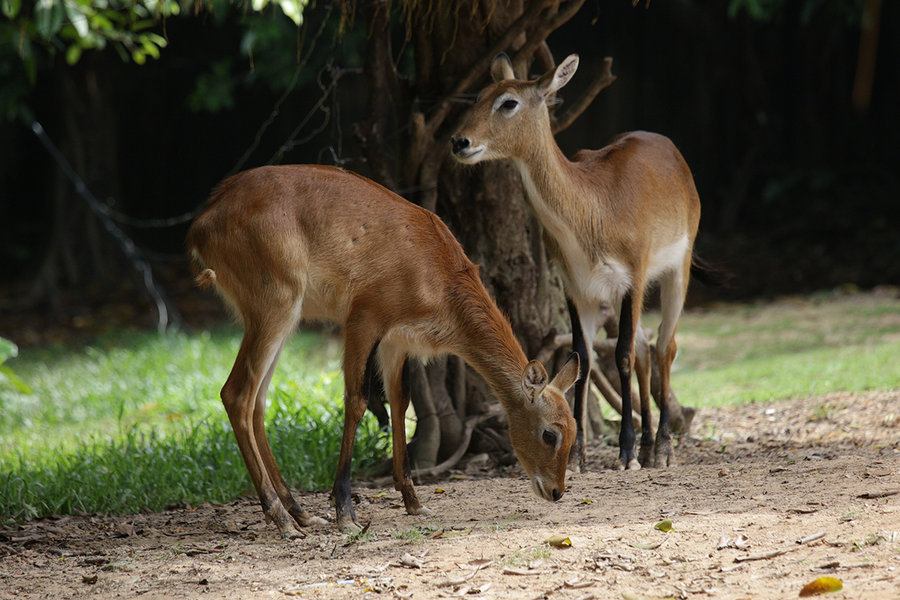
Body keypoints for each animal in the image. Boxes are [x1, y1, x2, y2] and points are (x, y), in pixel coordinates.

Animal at [186, 165, 580, 540]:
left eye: (574, 431)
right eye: (550, 434)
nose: (557, 491)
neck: (438, 274)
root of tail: (202, 223)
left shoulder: (397, 341)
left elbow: (401, 402)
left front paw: (414, 502)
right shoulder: (363, 319)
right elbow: (356, 401)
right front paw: (346, 515)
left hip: (283, 319)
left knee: (258, 402)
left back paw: (302, 514)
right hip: (275, 306)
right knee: (236, 394)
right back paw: (283, 520)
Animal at [450, 54, 704, 472]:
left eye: (508, 102)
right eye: (478, 95)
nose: (460, 142)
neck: (591, 209)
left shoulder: (632, 276)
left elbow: (619, 354)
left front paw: (624, 453)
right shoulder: (576, 287)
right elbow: (583, 359)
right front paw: (576, 456)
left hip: (676, 269)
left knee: (664, 345)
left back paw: (662, 450)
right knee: (644, 347)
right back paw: (649, 446)